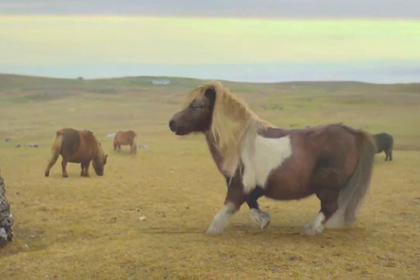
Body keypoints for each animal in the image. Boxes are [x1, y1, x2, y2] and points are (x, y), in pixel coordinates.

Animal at [169, 81, 376, 234]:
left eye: (196, 105)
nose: (172, 123)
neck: (240, 142)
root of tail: (351, 133)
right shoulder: (254, 186)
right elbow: (252, 203)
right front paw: (264, 221)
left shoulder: (239, 184)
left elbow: (228, 208)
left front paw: (214, 230)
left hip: (328, 188)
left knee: (329, 207)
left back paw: (311, 229)